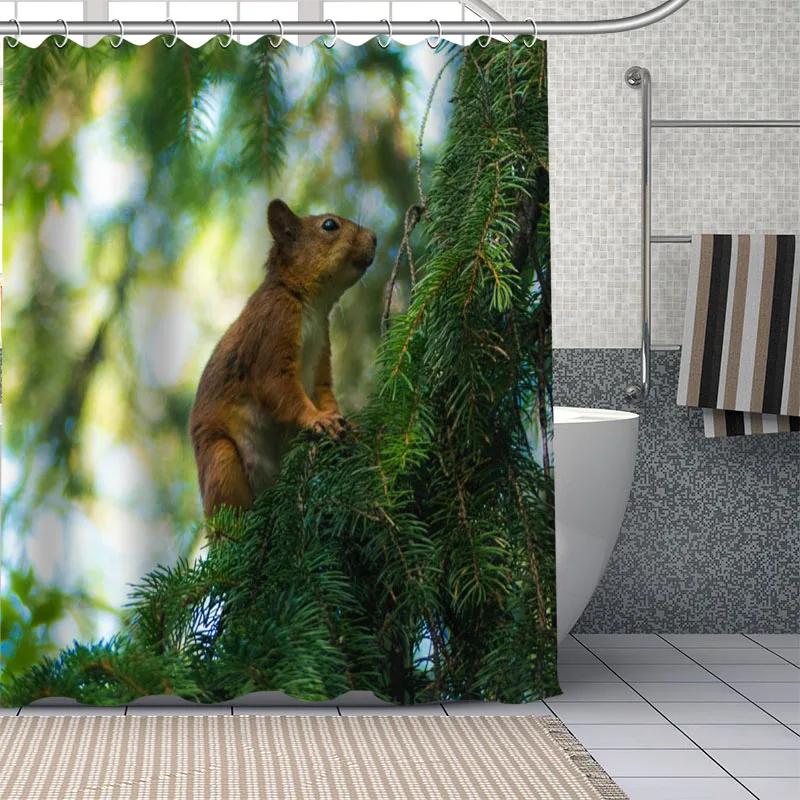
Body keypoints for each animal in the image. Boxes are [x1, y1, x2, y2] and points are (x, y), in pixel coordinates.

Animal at [189, 199, 377, 517]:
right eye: (329, 225)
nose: (375, 237)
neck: (310, 305)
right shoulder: (272, 330)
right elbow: (276, 387)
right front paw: (318, 420)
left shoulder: (320, 354)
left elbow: (324, 393)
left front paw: (343, 422)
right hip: (220, 458)